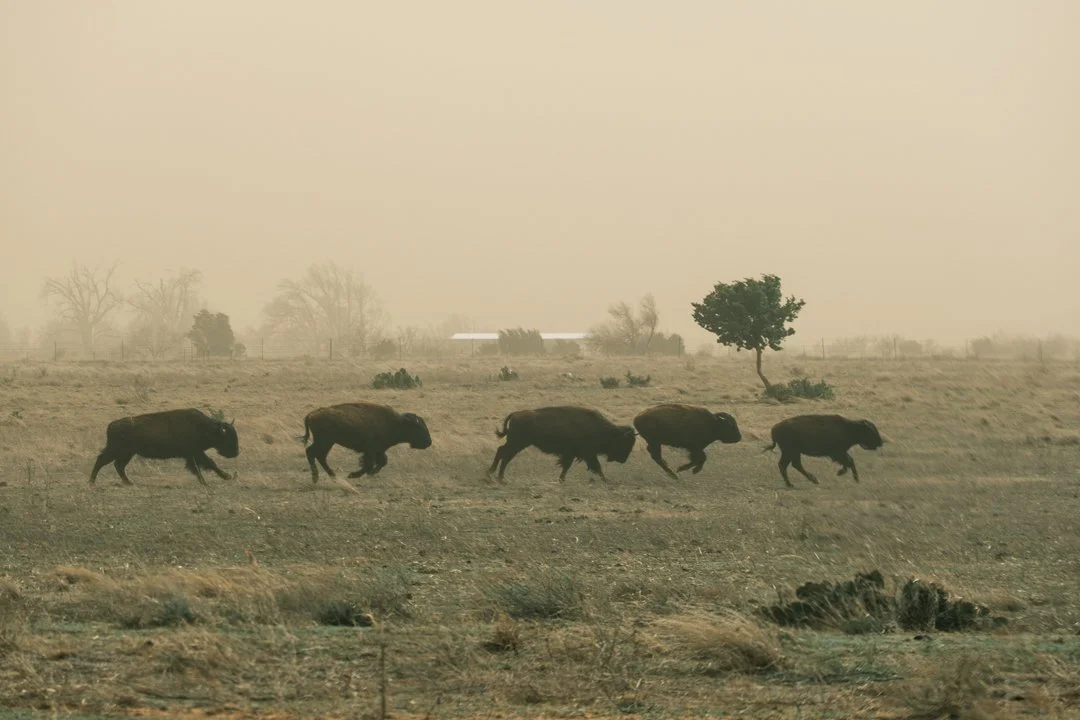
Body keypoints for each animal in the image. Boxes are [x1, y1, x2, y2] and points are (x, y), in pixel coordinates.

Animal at [89, 408, 238, 485]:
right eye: (227, 437)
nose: (236, 453)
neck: (205, 427)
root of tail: (111, 425)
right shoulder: (195, 453)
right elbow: (209, 464)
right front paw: (225, 477)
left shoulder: (192, 455)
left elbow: (200, 467)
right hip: (117, 451)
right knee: (102, 460)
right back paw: (92, 482)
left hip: (127, 453)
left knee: (118, 465)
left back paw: (128, 482)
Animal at [301, 402, 432, 482]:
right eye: (418, 428)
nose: (429, 442)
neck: (396, 423)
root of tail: (311, 414)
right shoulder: (371, 450)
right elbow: (370, 464)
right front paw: (353, 475)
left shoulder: (379, 450)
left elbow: (382, 461)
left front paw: (371, 474)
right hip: (325, 442)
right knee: (312, 453)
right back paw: (317, 478)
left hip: (327, 443)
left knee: (319, 456)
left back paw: (332, 476)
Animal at [487, 406, 636, 482]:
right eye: (624, 442)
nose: (623, 459)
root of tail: (516, 414)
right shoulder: (587, 454)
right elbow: (596, 467)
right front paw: (606, 480)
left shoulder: (573, 454)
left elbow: (566, 466)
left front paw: (561, 479)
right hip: (517, 443)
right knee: (505, 455)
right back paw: (499, 477)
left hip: (516, 443)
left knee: (501, 451)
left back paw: (493, 474)